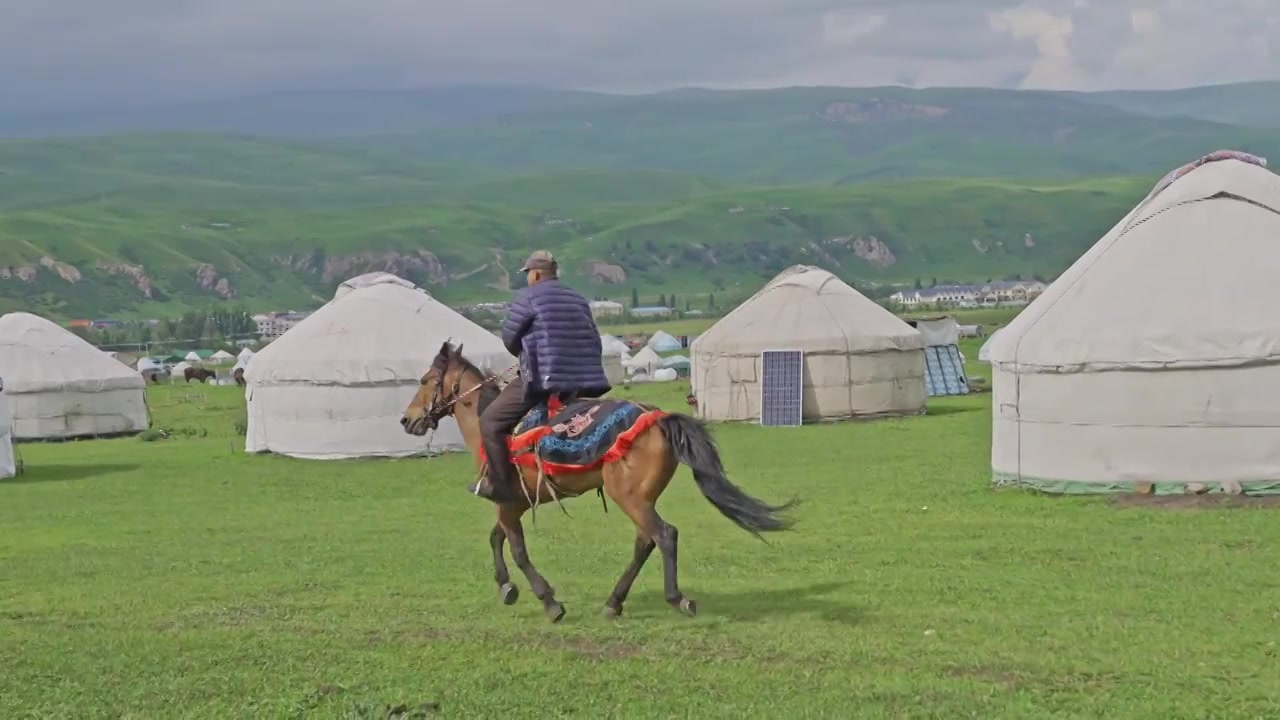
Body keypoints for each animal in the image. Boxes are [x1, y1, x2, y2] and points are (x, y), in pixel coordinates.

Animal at [404, 338, 793, 620]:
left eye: (424, 380)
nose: (407, 420)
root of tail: (658, 418)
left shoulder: (505, 502)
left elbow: (517, 550)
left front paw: (549, 601)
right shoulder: (514, 503)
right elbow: (496, 538)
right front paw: (506, 588)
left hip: (630, 497)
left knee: (664, 535)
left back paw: (676, 598)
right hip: (639, 497)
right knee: (645, 541)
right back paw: (613, 602)